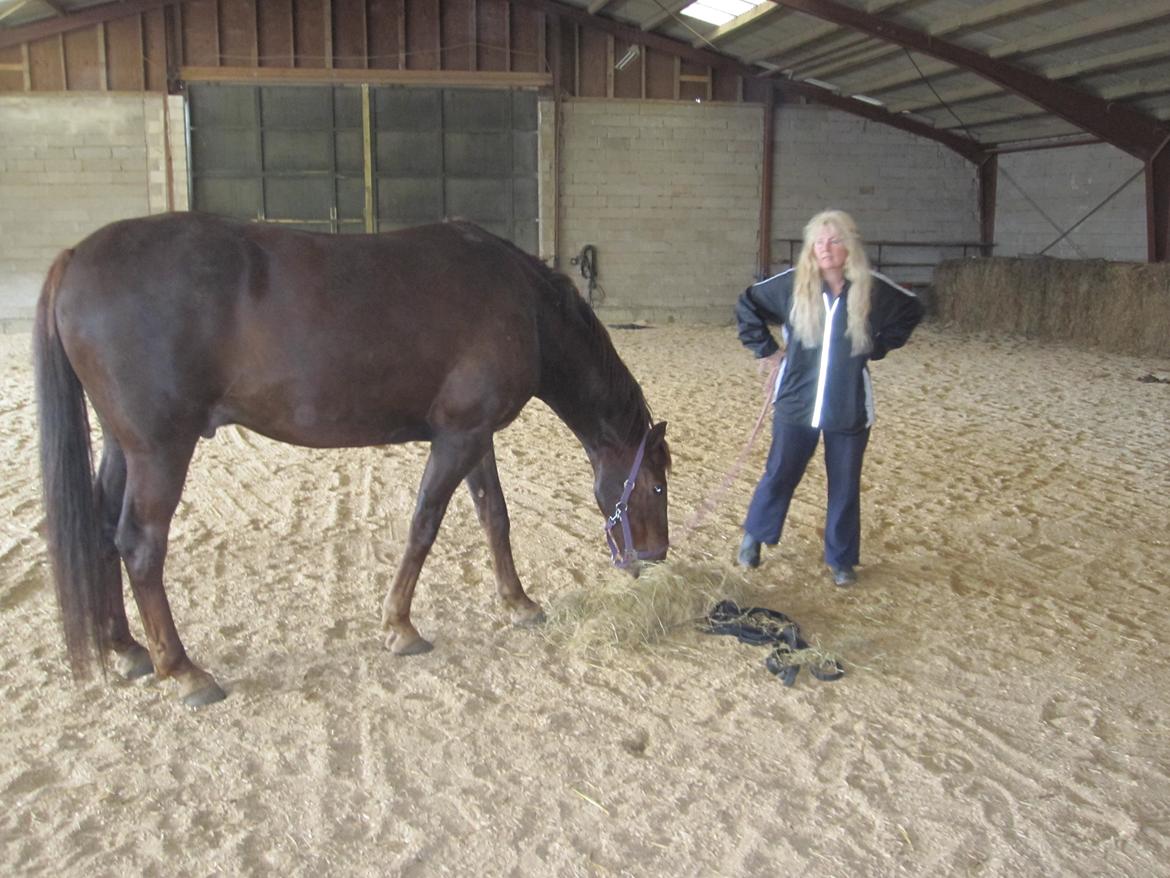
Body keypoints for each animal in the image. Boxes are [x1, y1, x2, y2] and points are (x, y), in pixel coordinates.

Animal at [34, 212, 671, 707]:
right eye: (658, 486)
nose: (656, 556)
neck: (525, 307)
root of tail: (75, 258)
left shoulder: (474, 434)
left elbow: (494, 517)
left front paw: (518, 603)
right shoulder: (458, 437)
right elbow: (424, 524)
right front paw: (400, 626)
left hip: (122, 448)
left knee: (101, 531)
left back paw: (127, 648)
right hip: (160, 451)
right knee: (140, 546)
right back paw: (185, 671)